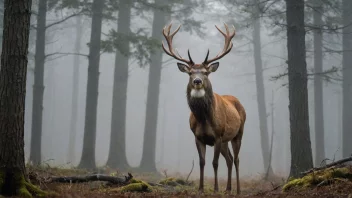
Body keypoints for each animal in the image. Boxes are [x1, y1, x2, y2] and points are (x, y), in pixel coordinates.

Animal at [161, 23, 246, 195]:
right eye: (190, 73)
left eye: (206, 73)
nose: (197, 81)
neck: (204, 120)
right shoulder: (198, 136)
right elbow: (202, 162)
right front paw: (200, 189)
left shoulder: (218, 135)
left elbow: (214, 163)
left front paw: (215, 189)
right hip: (226, 140)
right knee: (229, 159)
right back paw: (228, 189)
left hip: (238, 133)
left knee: (236, 159)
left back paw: (238, 190)